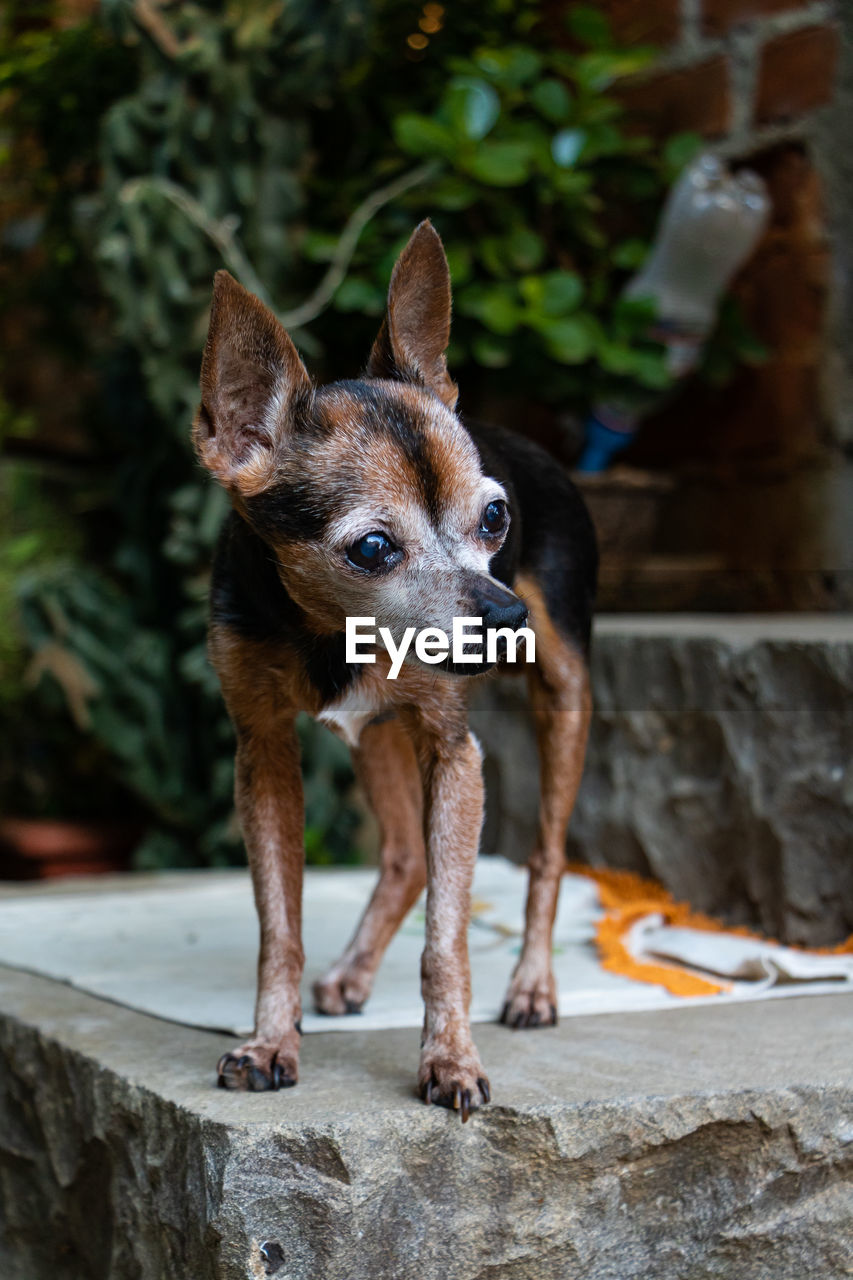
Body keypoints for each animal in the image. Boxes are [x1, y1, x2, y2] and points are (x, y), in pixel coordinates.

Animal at [193, 220, 594, 1121]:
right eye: (372, 548)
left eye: (494, 518)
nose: (506, 615)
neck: (336, 635)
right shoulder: (262, 753)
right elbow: (280, 926)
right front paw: (270, 1043)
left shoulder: (452, 751)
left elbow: (447, 937)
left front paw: (450, 1060)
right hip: (372, 734)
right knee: (407, 855)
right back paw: (351, 973)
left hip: (563, 696)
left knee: (547, 854)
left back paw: (533, 988)